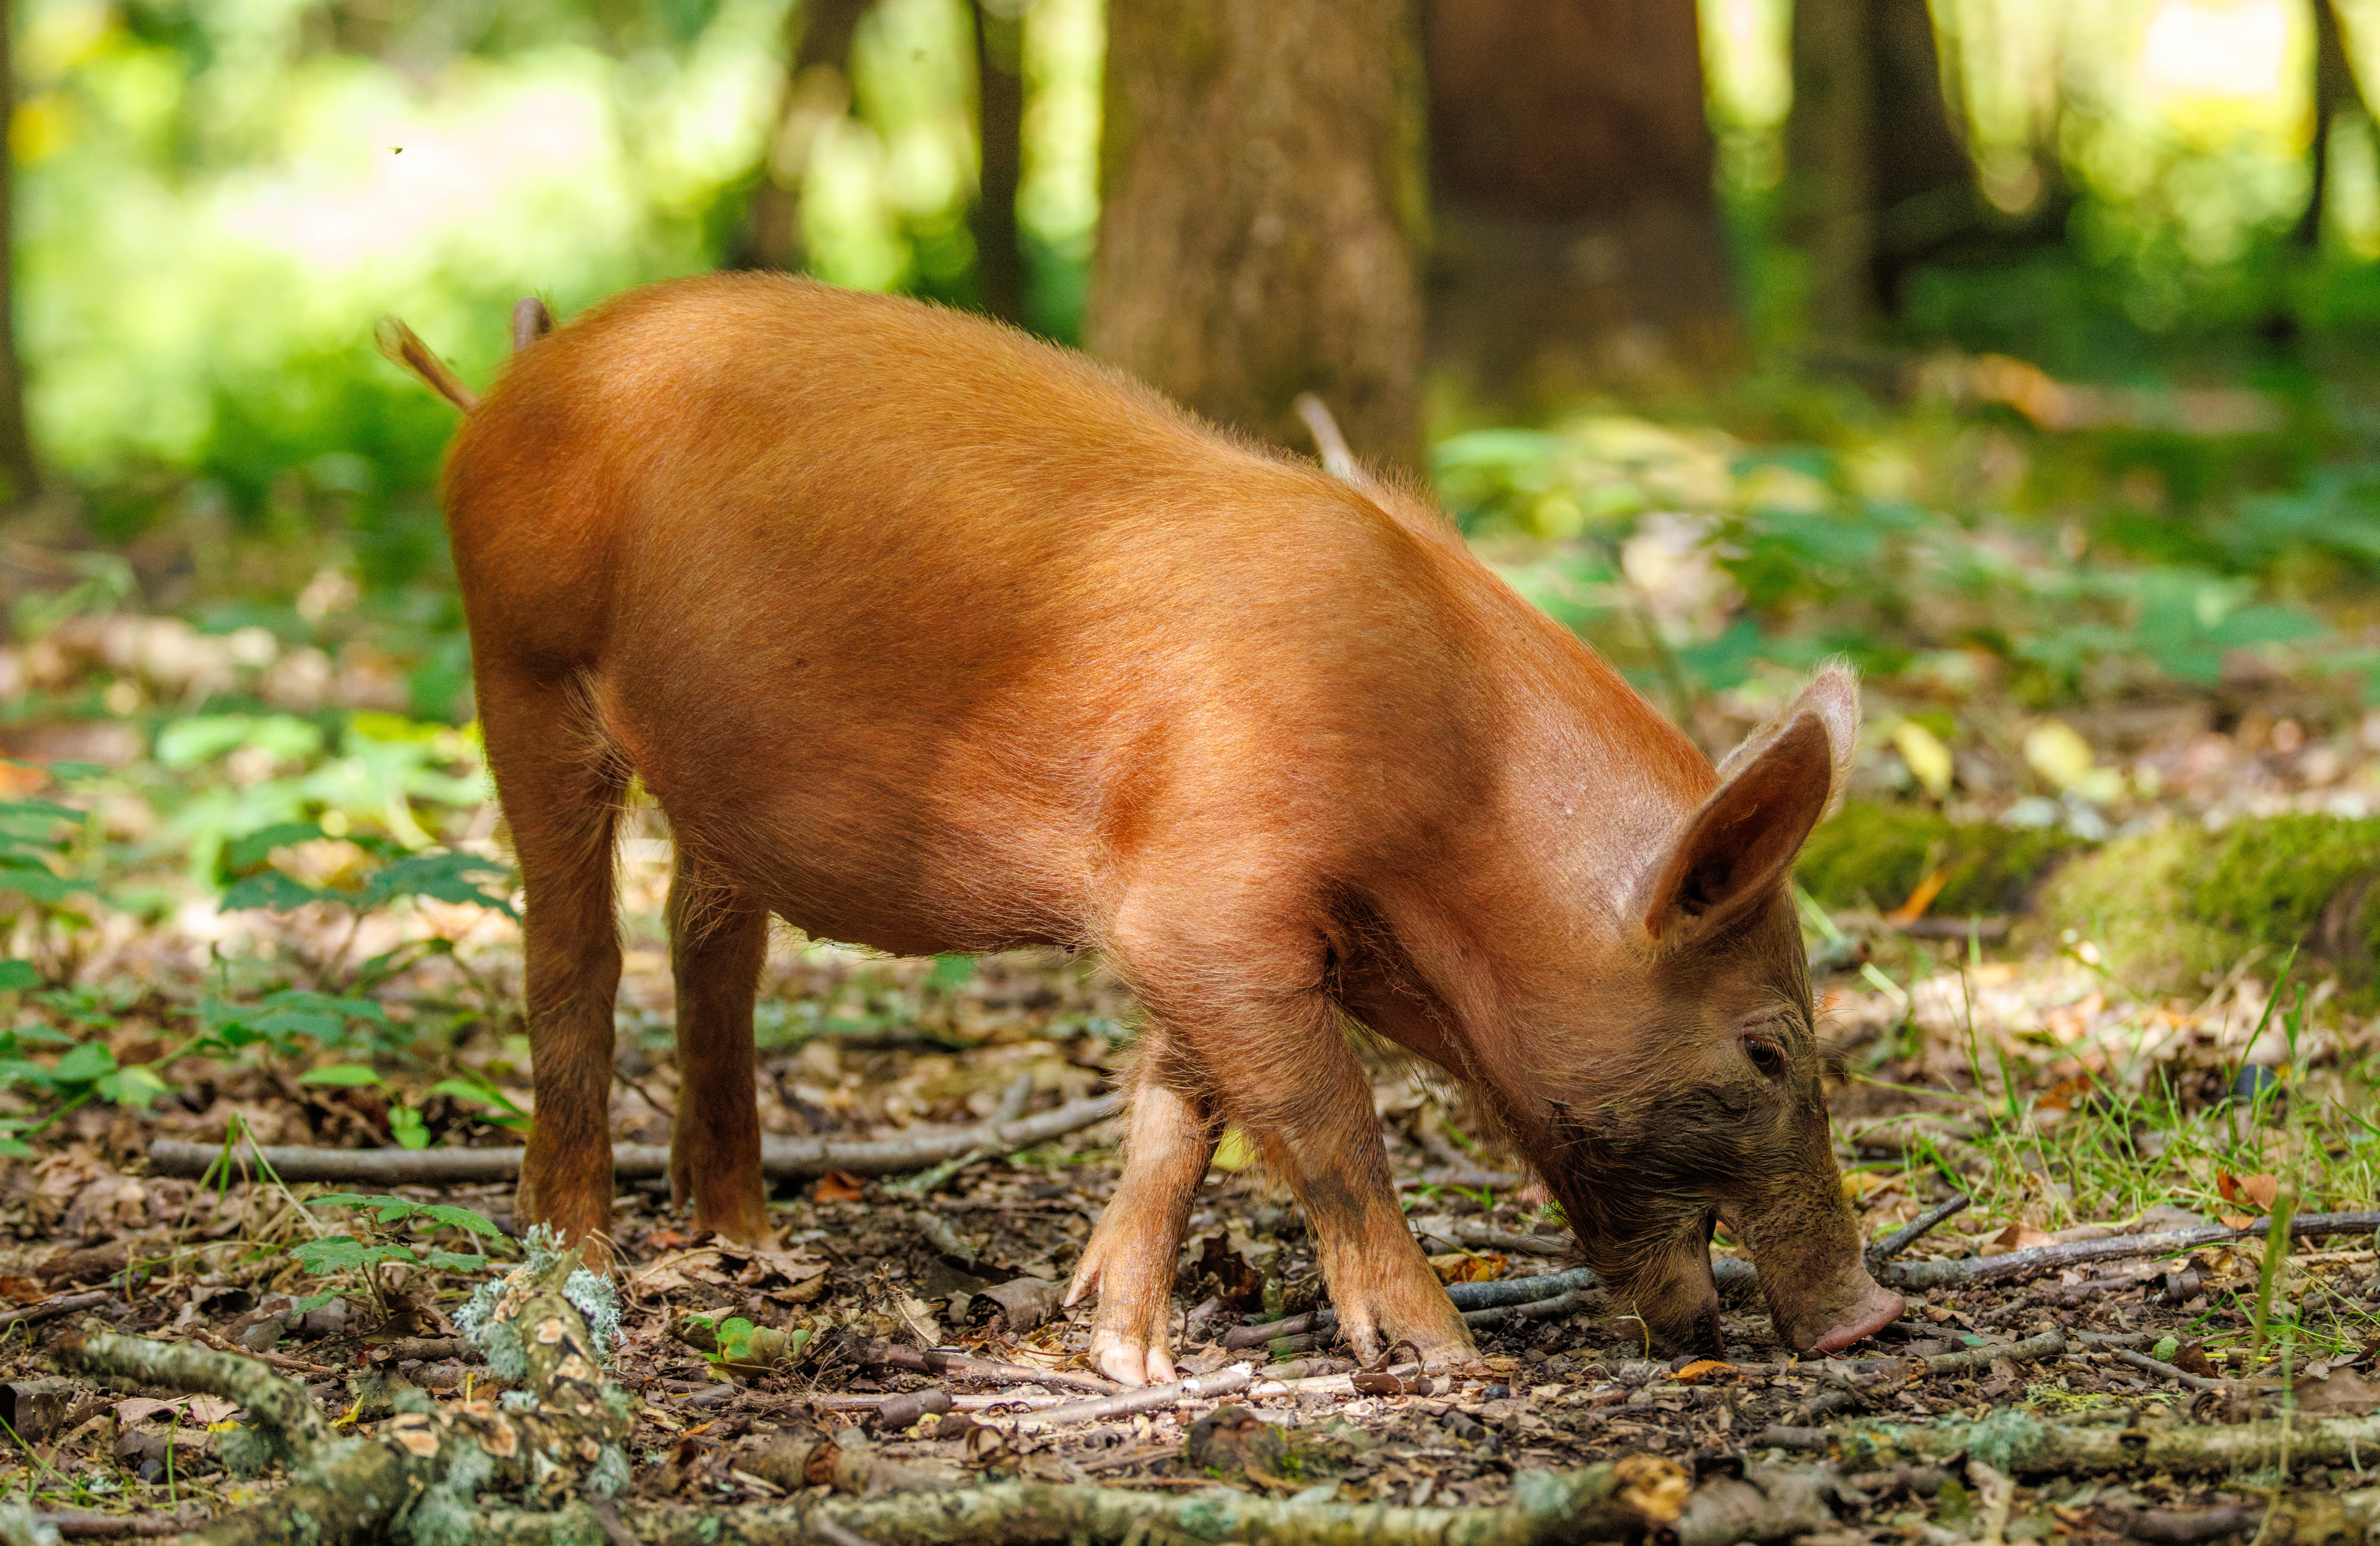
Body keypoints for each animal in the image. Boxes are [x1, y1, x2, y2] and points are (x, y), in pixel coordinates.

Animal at [386, 273, 1902, 1386]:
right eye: (1768, 1046)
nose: (1870, 1314)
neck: (1448, 797)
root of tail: (512, 381)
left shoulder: (1198, 920)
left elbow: (1183, 1108)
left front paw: (1123, 1353)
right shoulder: (1209, 897)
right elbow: (1325, 1111)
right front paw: (1444, 1359)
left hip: (710, 786)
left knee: (714, 952)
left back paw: (743, 1238)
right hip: (520, 660)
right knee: (573, 958)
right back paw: (580, 1257)